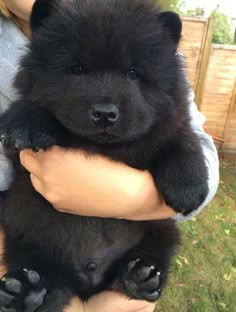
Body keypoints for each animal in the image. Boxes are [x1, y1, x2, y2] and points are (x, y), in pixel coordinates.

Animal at [0, 0, 208, 312]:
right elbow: (36, 110)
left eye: (133, 73)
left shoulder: (171, 121)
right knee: (42, 272)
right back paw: (27, 291)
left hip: (159, 231)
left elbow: (183, 139)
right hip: (24, 234)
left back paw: (140, 277)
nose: (105, 113)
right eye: (76, 69)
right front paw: (23, 124)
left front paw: (190, 190)